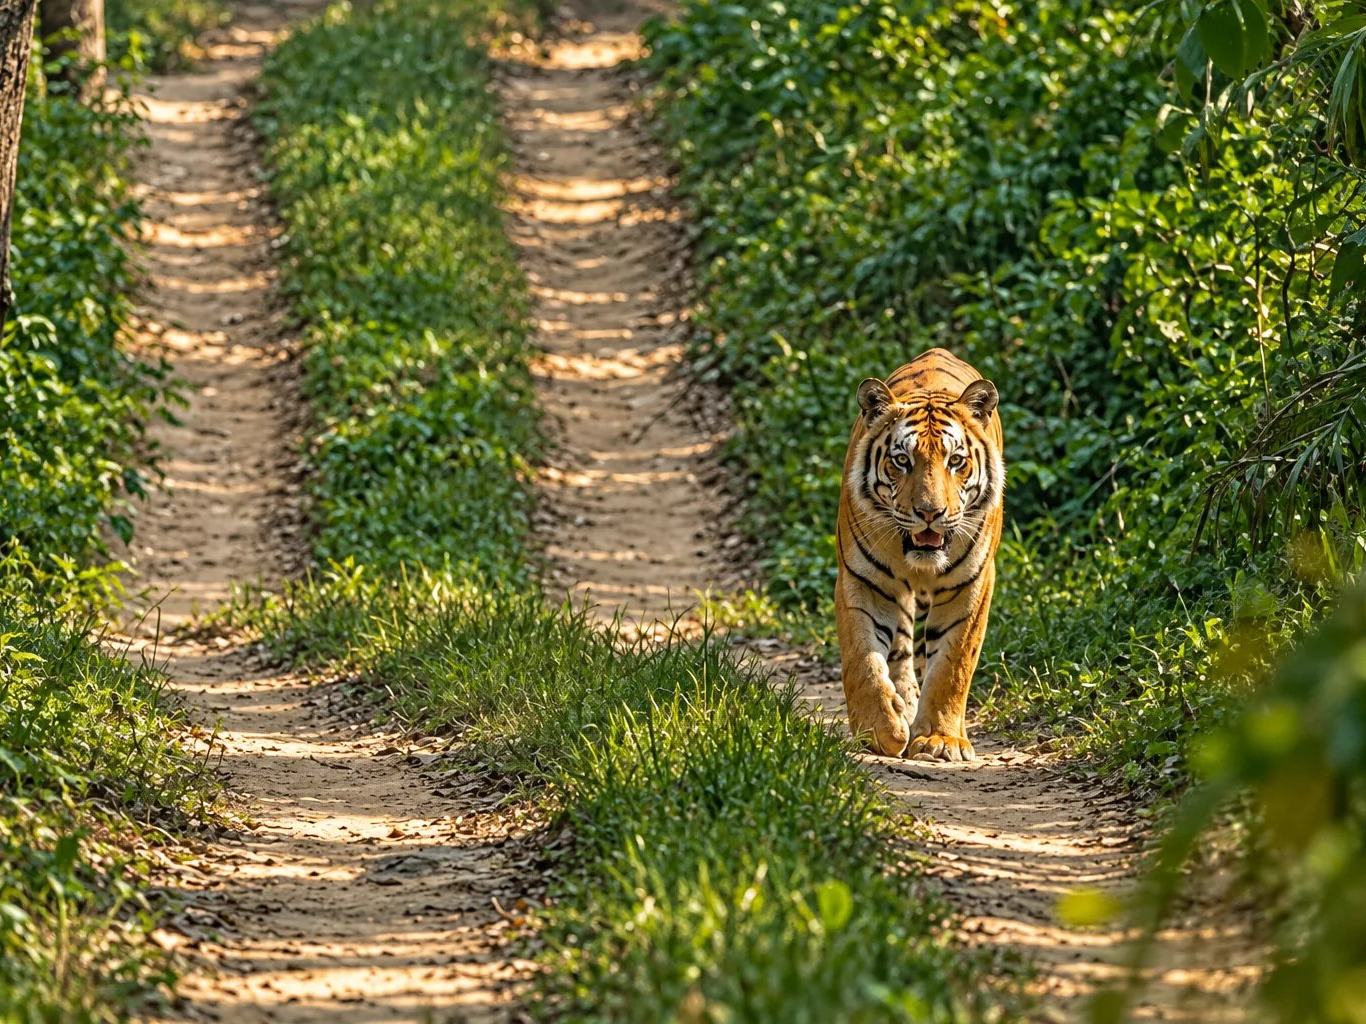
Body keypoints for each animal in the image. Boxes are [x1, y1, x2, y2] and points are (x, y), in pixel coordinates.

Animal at [835, 347, 1004, 762]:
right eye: (901, 461)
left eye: (955, 461)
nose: (930, 512)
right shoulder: (861, 580)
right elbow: (862, 659)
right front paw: (879, 729)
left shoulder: (972, 584)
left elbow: (953, 665)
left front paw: (940, 740)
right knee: (899, 650)